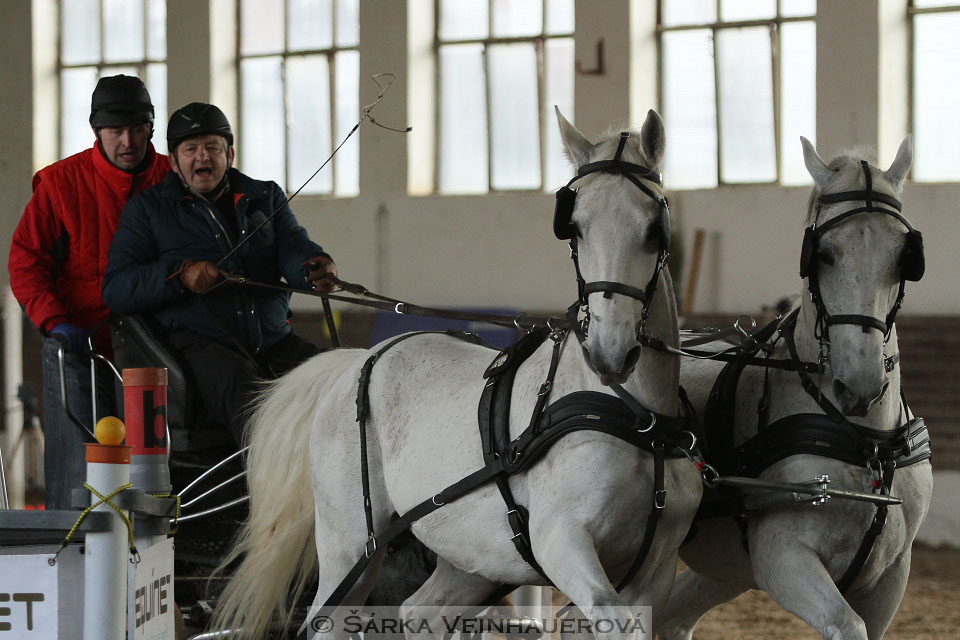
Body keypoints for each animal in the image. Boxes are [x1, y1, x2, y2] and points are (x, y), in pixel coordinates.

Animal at [212, 110, 704, 640]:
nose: (610, 352)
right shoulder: (562, 542)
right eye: (574, 228)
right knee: (331, 616)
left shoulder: (656, 569)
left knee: (418, 611)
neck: (634, 419)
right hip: (351, 543)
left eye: (655, 227)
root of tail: (359, 360)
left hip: (470, 556)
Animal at [660, 138, 928, 636]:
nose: (858, 385)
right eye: (822, 253)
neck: (865, 440)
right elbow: (846, 625)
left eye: (905, 256)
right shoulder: (783, 558)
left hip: (723, 568)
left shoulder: (891, 578)